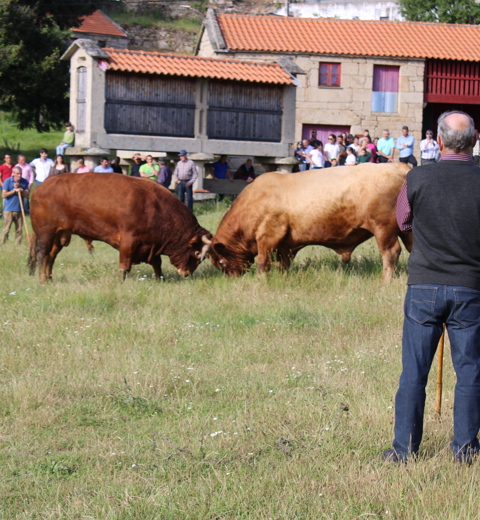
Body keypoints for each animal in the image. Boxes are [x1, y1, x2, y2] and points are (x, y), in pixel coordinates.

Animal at [28, 173, 212, 282]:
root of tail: (42, 186)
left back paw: (50, 279)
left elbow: (157, 264)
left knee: (51, 256)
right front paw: (120, 281)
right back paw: (43, 280)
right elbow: (125, 266)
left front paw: (160, 279)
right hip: (46, 233)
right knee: (42, 255)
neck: (155, 206)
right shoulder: (128, 241)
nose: (187, 274)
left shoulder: (151, 245)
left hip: (60, 235)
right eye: (197, 253)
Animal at [202, 165, 412, 282]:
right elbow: (283, 264)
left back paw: (385, 280)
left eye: (220, 261)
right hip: (407, 230)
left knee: (391, 253)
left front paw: (262, 280)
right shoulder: (284, 245)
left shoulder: (267, 236)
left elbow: (263, 263)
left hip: (383, 229)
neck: (253, 201)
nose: (232, 278)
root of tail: (400, 167)